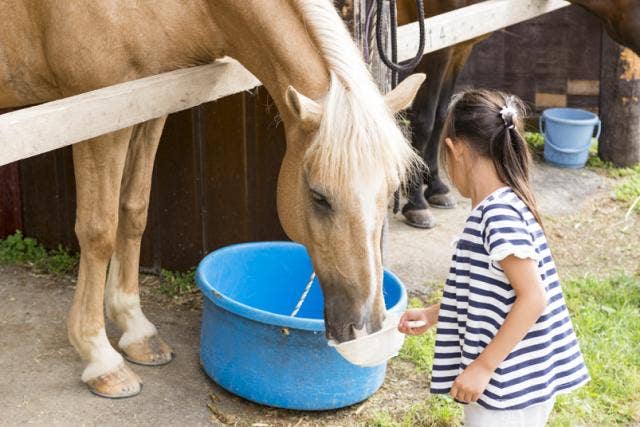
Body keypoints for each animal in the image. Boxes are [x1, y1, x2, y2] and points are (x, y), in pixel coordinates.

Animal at [1, 1, 430, 400]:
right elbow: (99, 230)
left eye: (390, 190)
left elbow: (134, 211)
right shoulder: (101, 118)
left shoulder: (149, 106)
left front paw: (136, 330)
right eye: (319, 196)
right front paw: (101, 357)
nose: (364, 328)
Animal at [398, 0, 640, 229]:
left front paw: (436, 186)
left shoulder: (459, 48)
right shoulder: (437, 49)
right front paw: (416, 201)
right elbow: (425, 120)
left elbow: (441, 116)